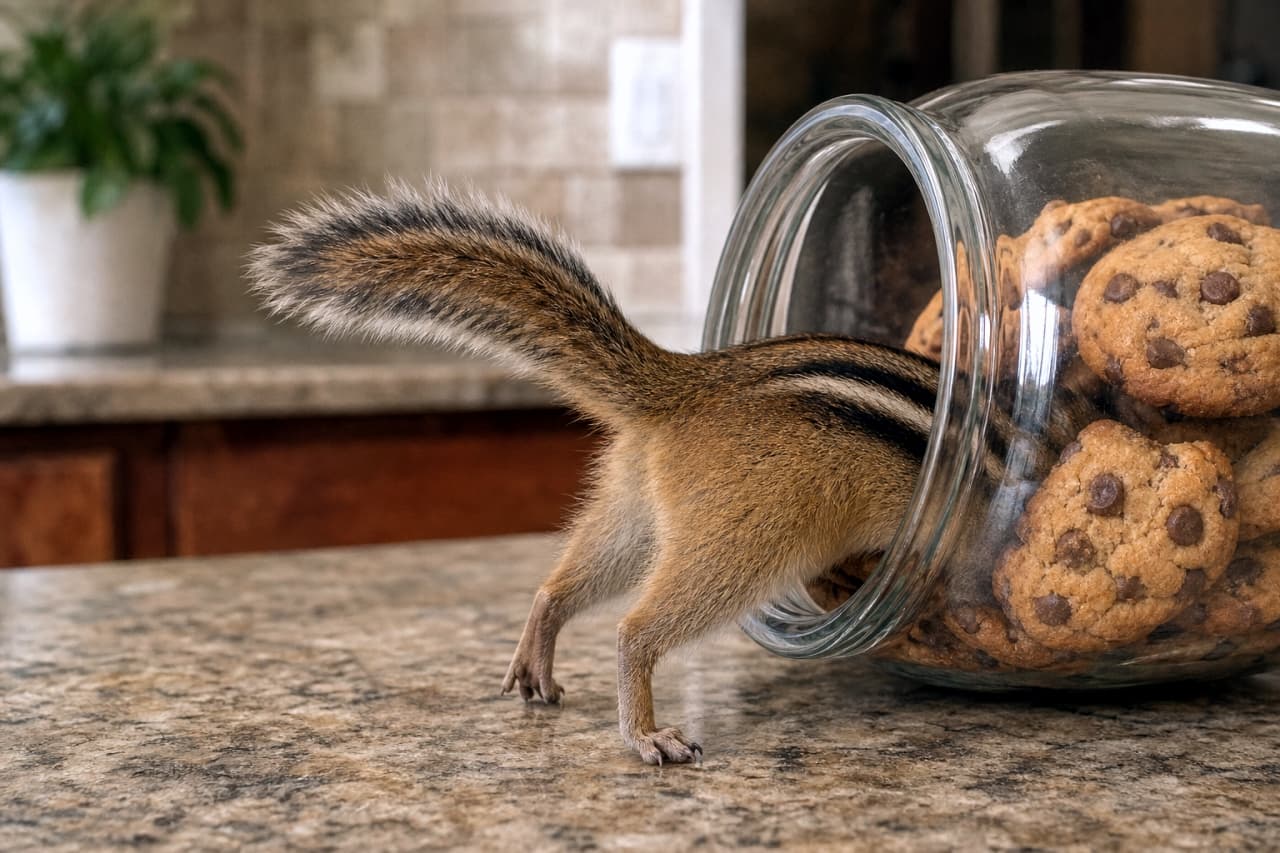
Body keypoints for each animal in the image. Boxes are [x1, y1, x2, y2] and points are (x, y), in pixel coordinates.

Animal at [248, 181, 1092, 765]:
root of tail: (686, 381)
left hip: (632, 509)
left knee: (563, 583)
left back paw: (536, 656)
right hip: (744, 537)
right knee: (636, 629)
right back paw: (648, 733)